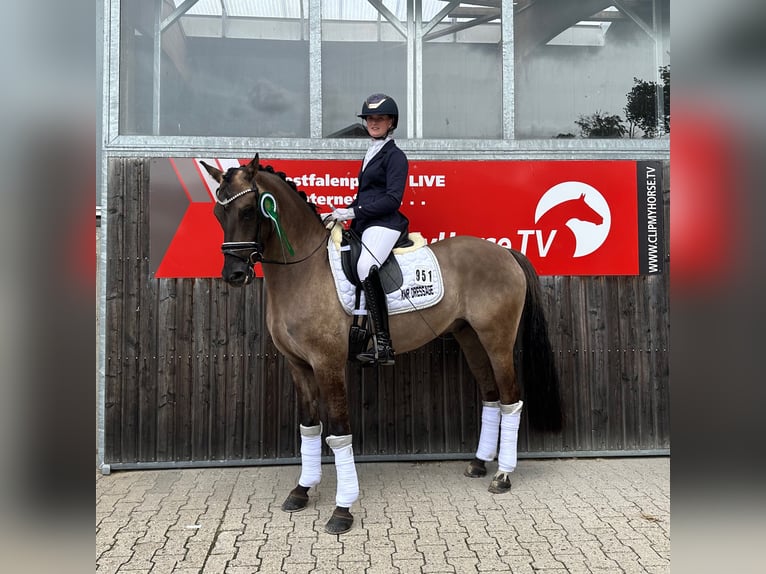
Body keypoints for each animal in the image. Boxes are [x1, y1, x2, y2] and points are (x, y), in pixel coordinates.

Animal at [204, 155, 564, 536]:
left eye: (247, 211)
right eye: (218, 213)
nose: (234, 275)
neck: (303, 269)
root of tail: (505, 252)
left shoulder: (327, 363)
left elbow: (339, 433)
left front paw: (342, 509)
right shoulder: (298, 365)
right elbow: (309, 427)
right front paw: (302, 491)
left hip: (497, 339)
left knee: (511, 400)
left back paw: (503, 475)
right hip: (469, 337)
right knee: (491, 396)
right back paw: (480, 464)